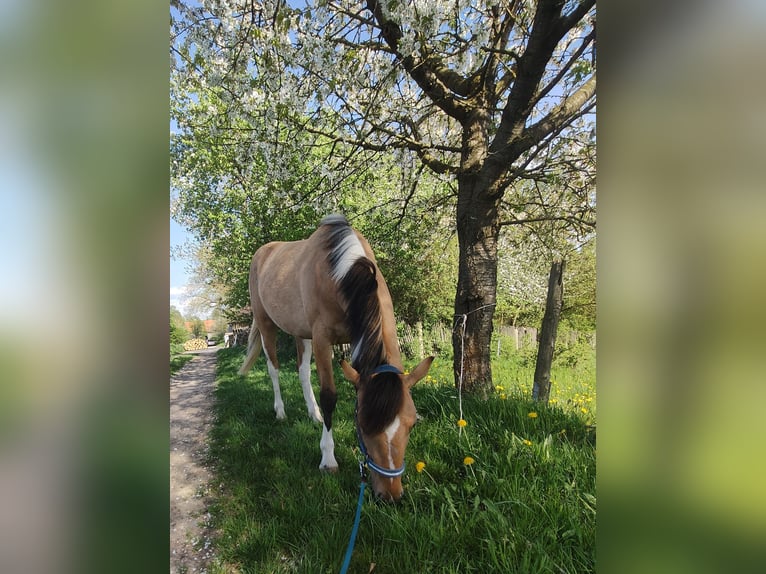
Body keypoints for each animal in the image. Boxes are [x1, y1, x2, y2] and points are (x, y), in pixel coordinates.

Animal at [238, 214, 433, 501]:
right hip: (266, 325)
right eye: (363, 425)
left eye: (411, 424)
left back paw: (314, 414)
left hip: (300, 332)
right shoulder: (322, 339)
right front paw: (328, 460)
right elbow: (329, 396)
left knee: (302, 372)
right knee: (273, 369)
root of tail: (263, 252)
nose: (390, 495)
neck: (340, 273)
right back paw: (281, 412)